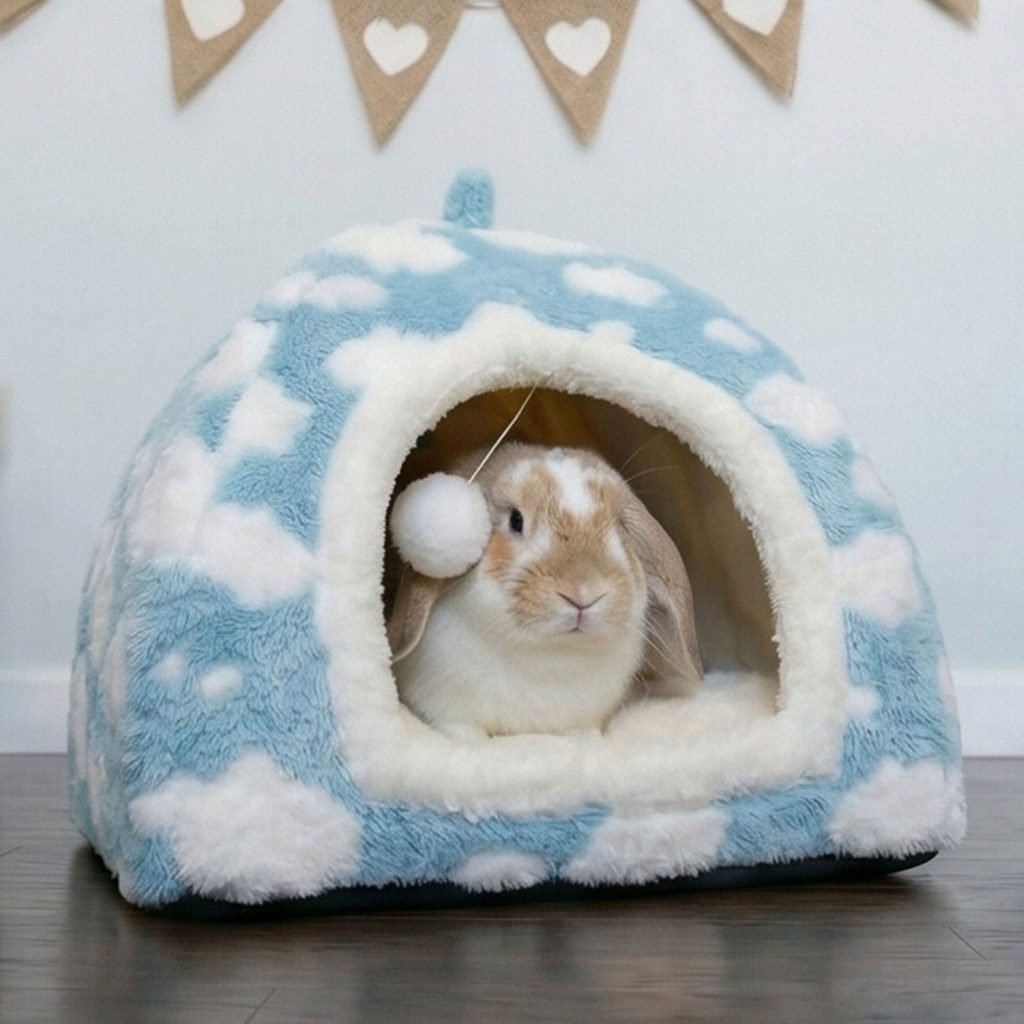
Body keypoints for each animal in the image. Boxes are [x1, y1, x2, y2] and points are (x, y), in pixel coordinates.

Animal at [387, 443, 703, 738]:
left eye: (620, 526)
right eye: (516, 520)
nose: (583, 592)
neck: (550, 653)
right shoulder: (451, 713)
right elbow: (460, 731)